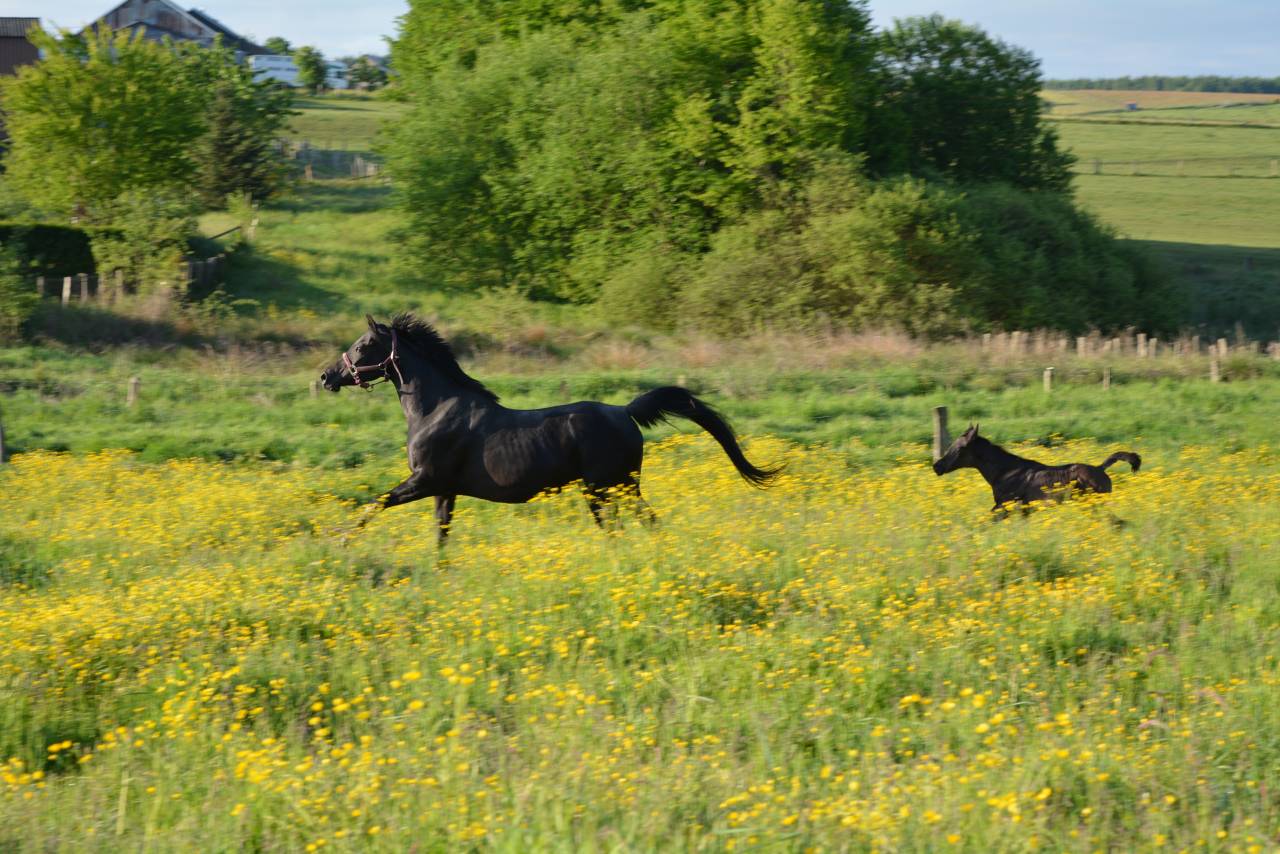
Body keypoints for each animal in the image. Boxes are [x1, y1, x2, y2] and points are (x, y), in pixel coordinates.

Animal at [320, 314, 781, 545]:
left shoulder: (424, 480)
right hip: (614, 488)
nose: (326, 376)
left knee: (633, 525)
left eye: (363, 346)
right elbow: (441, 536)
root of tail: (625, 412)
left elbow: (374, 503)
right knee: (638, 524)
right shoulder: (443, 490)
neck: (434, 411)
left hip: (606, 487)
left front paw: (340, 540)